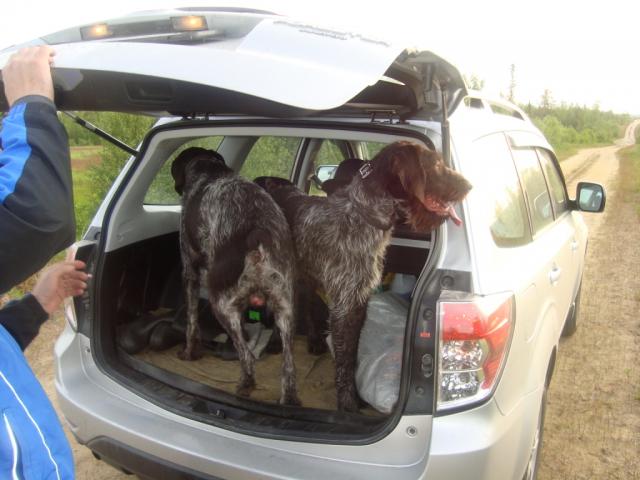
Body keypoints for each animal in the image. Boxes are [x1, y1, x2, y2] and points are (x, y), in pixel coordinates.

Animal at [171, 147, 300, 406]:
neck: (208, 171)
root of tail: (258, 233)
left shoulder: (189, 270)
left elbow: (191, 322)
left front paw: (189, 352)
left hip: (221, 304)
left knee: (247, 356)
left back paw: (245, 385)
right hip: (285, 309)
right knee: (288, 367)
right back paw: (288, 399)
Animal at [258, 141, 472, 412]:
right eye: (435, 164)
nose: (469, 186)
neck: (362, 214)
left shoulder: (358, 302)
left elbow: (352, 356)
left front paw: (355, 396)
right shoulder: (344, 306)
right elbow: (344, 358)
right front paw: (347, 404)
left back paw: (314, 340)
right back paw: (276, 341)